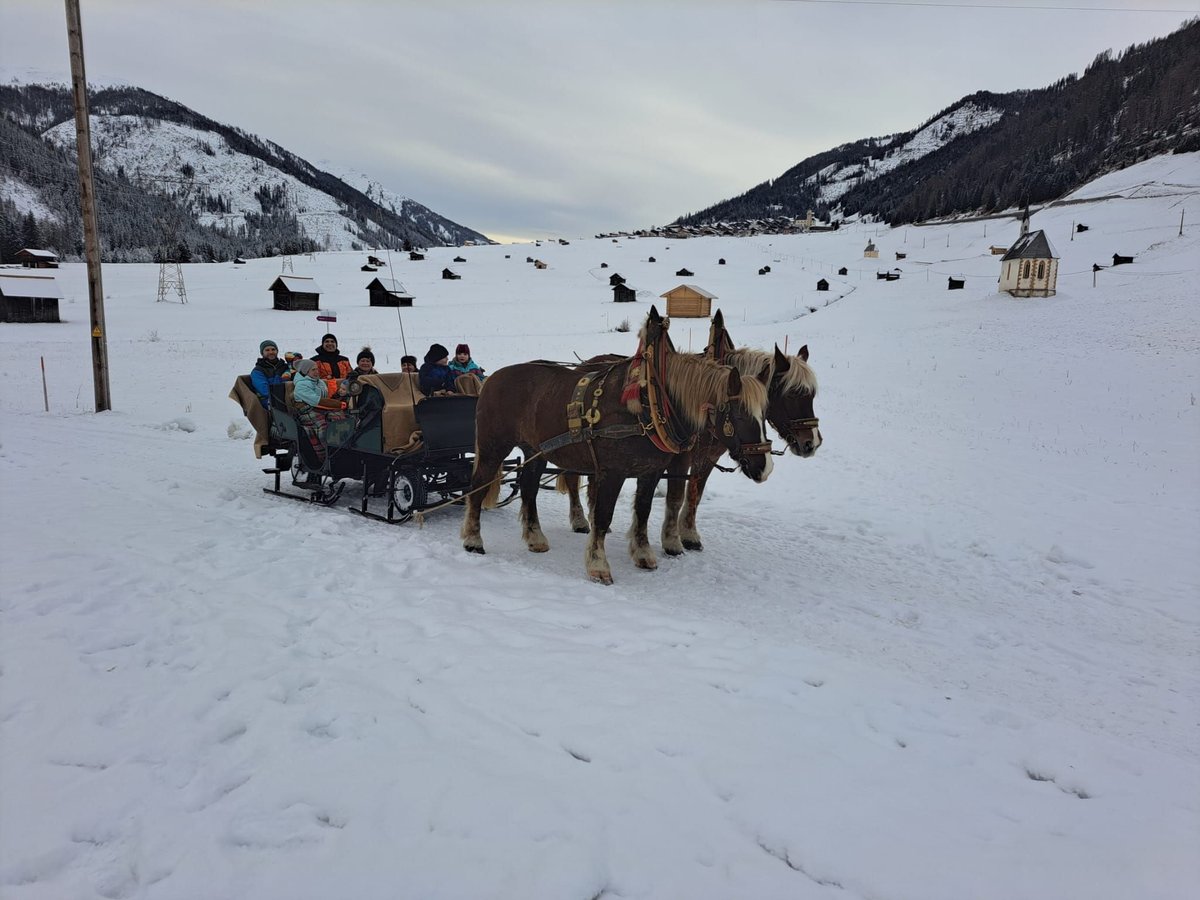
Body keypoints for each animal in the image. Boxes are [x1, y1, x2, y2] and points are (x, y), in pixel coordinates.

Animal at [458, 307, 768, 585]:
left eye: (764, 413)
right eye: (739, 414)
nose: (763, 468)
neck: (650, 401)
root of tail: (492, 379)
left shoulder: (651, 471)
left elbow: (643, 511)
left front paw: (643, 554)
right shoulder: (612, 472)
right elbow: (603, 516)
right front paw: (598, 566)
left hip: (535, 450)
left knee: (529, 488)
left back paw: (535, 538)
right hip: (492, 447)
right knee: (478, 486)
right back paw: (473, 539)